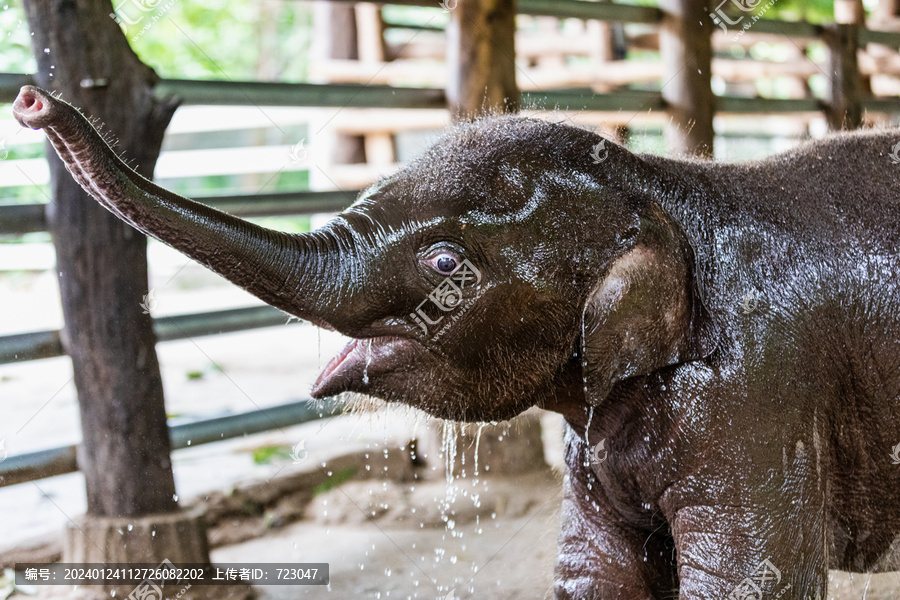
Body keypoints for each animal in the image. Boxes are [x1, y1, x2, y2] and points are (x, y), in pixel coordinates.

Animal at [12, 85, 900, 600]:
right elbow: (596, 571)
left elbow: (753, 578)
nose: (29, 100)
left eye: (444, 263)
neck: (665, 184)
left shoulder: (758, 393)